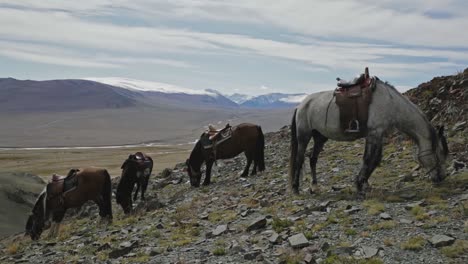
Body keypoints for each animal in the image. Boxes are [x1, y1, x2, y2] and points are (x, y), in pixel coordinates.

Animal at [290, 76, 448, 194]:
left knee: (313, 159)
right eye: (438, 154)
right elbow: (368, 159)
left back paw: (314, 187)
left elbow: (375, 159)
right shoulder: (374, 133)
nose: (441, 178)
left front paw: (364, 183)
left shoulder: (379, 134)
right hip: (304, 136)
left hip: (320, 137)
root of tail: (301, 105)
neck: (391, 103)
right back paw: (296, 188)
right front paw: (360, 184)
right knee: (299, 159)